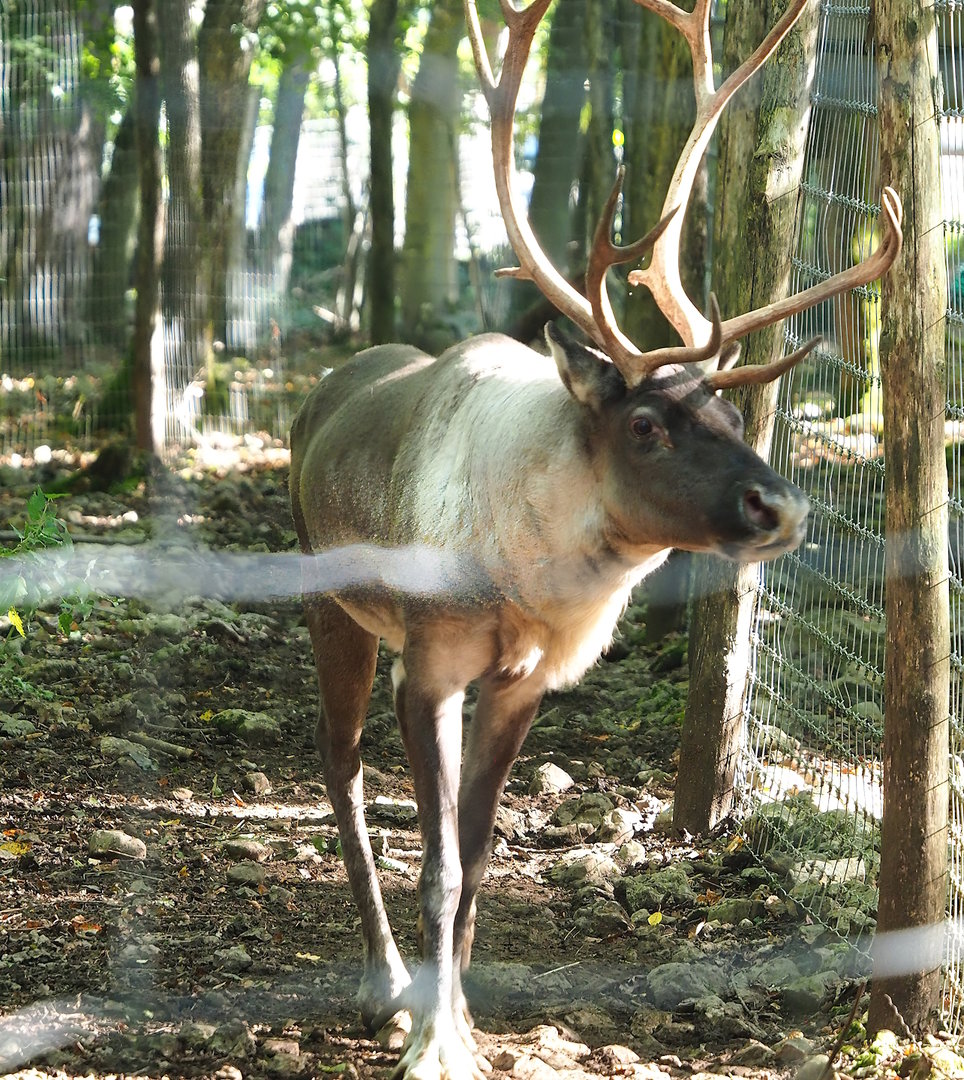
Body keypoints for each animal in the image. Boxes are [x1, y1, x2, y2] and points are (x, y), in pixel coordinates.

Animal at [288, 0, 903, 1076]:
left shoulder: (524, 684)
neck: (530, 584)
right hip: (335, 606)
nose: (780, 510)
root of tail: (326, 388)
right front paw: (430, 1043)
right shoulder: (430, 666)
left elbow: (478, 860)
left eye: (735, 416)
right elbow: (436, 863)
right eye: (647, 424)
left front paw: (467, 1026)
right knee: (342, 767)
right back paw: (381, 986)